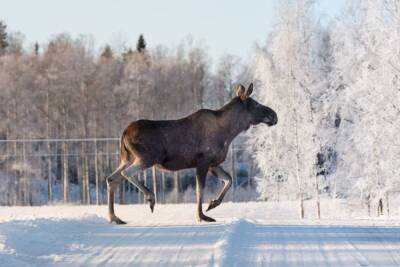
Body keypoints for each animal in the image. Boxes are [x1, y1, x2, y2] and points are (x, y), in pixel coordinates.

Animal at [104, 84, 276, 224]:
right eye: (256, 103)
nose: (274, 115)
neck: (229, 132)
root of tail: (124, 133)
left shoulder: (213, 164)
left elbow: (229, 180)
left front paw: (212, 204)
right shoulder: (203, 161)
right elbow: (200, 190)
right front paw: (201, 216)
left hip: (127, 158)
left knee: (111, 179)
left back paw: (114, 217)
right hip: (147, 158)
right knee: (126, 173)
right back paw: (150, 197)